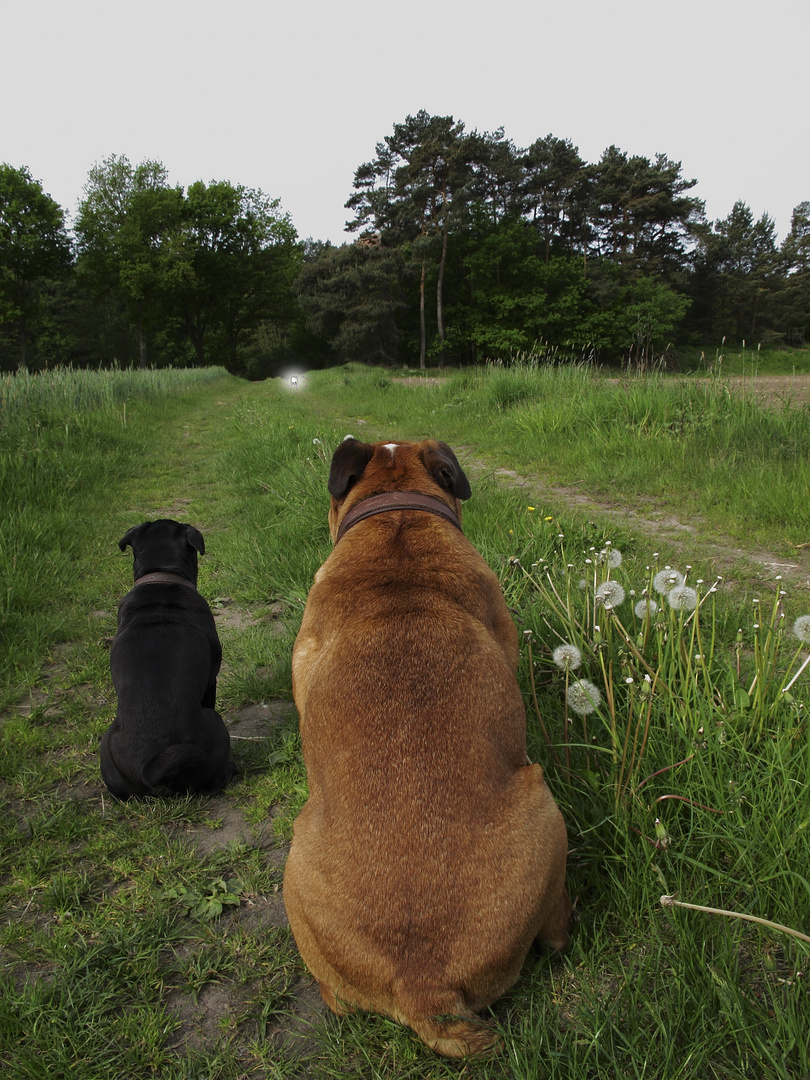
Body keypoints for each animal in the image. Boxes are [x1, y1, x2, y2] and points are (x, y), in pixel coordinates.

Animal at [99, 518, 234, 799]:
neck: (160, 577)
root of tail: (150, 773)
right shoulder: (211, 681)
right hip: (216, 726)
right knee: (214, 781)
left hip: (106, 748)